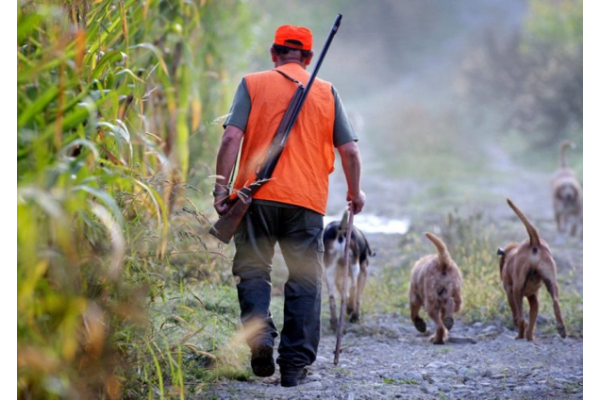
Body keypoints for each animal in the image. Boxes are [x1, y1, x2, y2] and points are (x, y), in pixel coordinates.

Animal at [496, 199, 568, 340]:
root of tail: (534, 243)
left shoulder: (510, 292)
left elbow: (518, 316)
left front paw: (524, 334)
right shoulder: (533, 298)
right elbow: (533, 318)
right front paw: (530, 337)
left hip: (517, 289)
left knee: (521, 318)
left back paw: (519, 336)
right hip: (551, 283)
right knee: (556, 303)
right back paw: (561, 328)